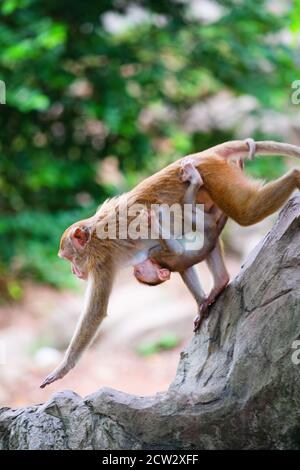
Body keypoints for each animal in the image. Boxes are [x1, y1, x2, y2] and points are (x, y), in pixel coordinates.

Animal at [133, 162, 227, 330]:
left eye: (138, 271)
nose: (134, 269)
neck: (156, 261)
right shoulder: (162, 257)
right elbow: (177, 253)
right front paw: (153, 221)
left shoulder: (156, 253)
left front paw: (153, 220)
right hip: (206, 223)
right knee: (187, 207)